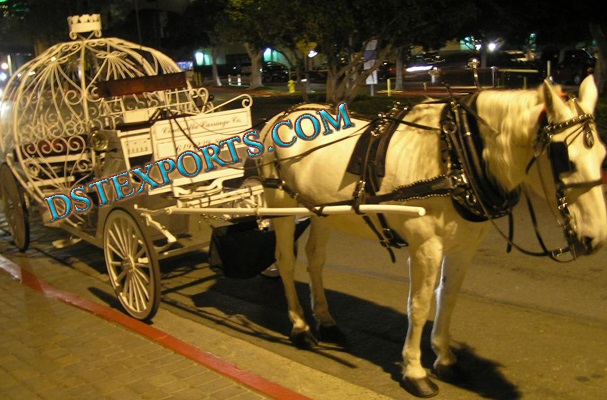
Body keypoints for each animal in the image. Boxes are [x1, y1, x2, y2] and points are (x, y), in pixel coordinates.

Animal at [258, 76, 607, 396]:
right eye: (564, 159)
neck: (458, 156)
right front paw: (415, 370)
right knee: (285, 262)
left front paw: (445, 358)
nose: (597, 239)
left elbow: (447, 298)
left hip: (322, 211)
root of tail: (280, 117)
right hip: (281, 204)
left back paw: (325, 319)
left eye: (603, 157)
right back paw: (301, 326)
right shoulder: (426, 248)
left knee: (315, 260)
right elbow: (420, 304)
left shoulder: (465, 247)